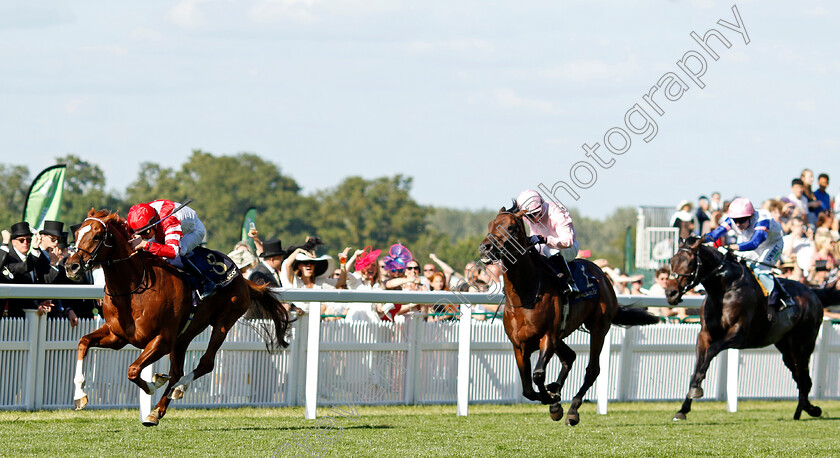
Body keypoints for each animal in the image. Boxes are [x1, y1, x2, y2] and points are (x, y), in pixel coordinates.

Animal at [65, 210, 292, 426]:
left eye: (97, 236)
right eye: (76, 235)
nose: (71, 266)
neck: (134, 289)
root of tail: (243, 279)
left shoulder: (162, 340)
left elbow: (133, 369)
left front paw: (153, 384)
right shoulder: (117, 337)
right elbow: (83, 342)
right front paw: (79, 395)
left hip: (223, 322)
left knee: (205, 363)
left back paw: (178, 388)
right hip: (183, 336)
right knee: (176, 371)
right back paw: (156, 411)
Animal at [476, 205, 660, 426]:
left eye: (511, 227)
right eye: (490, 224)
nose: (485, 248)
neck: (526, 295)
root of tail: (602, 276)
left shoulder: (547, 337)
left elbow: (538, 375)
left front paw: (553, 401)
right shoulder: (519, 345)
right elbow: (527, 389)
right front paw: (552, 398)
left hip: (598, 328)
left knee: (592, 370)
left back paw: (572, 409)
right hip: (562, 335)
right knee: (570, 357)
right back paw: (556, 392)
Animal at [664, 238, 840, 420]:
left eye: (690, 263)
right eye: (672, 261)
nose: (671, 293)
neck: (724, 289)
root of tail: (813, 293)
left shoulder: (738, 335)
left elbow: (711, 352)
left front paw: (695, 391)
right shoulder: (704, 335)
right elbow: (698, 366)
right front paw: (683, 409)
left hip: (803, 343)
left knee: (804, 377)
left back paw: (810, 410)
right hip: (786, 346)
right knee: (800, 376)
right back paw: (803, 410)